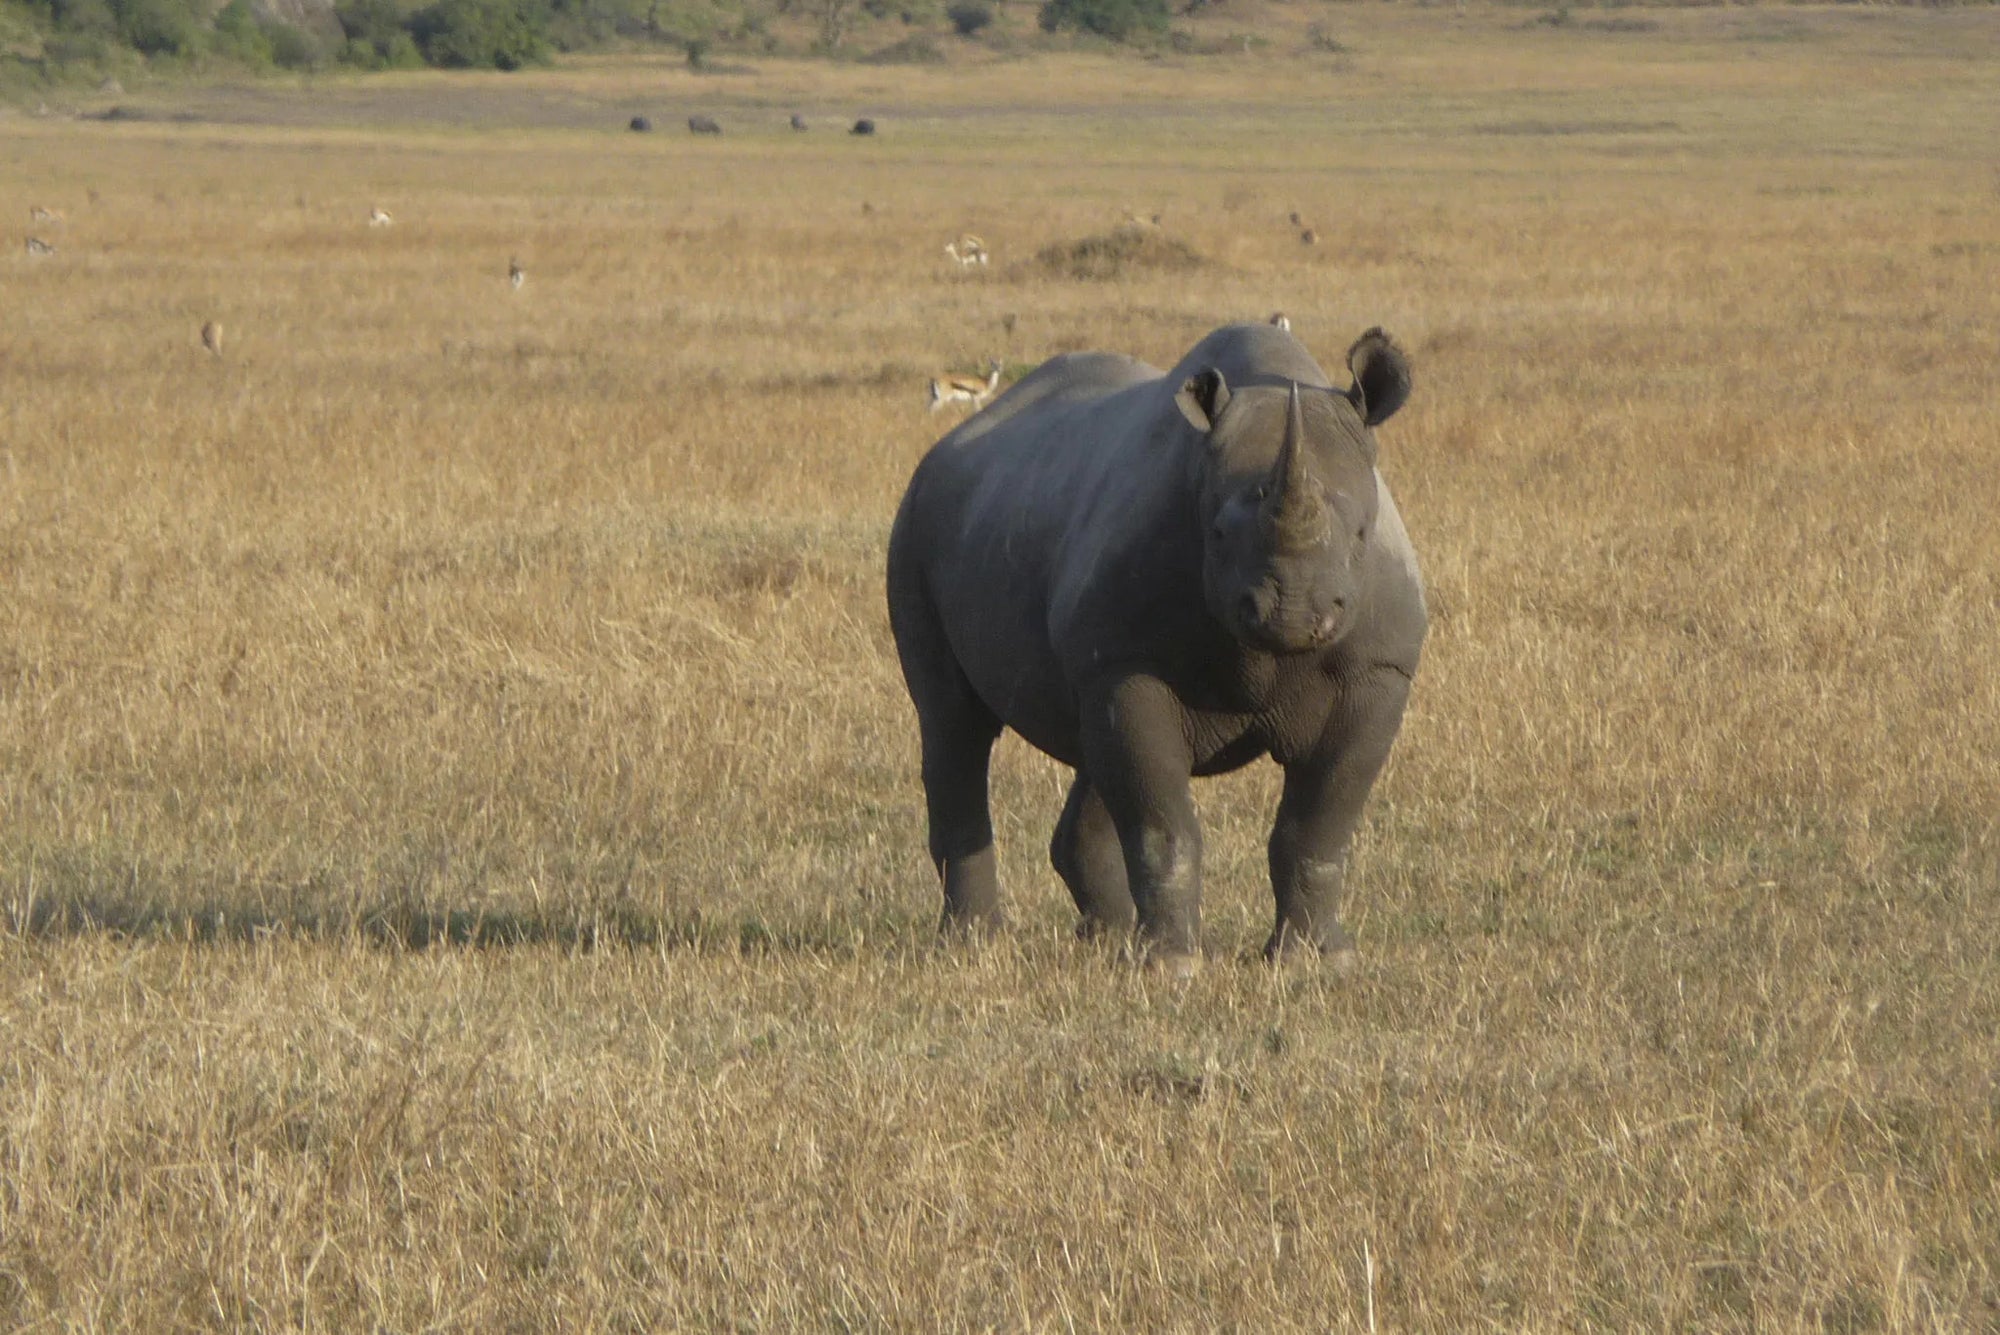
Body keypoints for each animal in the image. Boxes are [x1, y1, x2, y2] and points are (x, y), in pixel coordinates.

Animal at [886, 322, 1424, 974]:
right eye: (1216, 534)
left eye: (1363, 535)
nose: (1292, 614)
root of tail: (947, 447)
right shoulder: (1129, 665)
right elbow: (1161, 821)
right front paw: (1171, 967)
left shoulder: (1377, 670)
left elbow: (1321, 823)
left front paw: (1319, 962)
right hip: (915, 525)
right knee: (953, 722)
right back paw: (974, 945)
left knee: (1088, 747)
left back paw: (1105, 940)